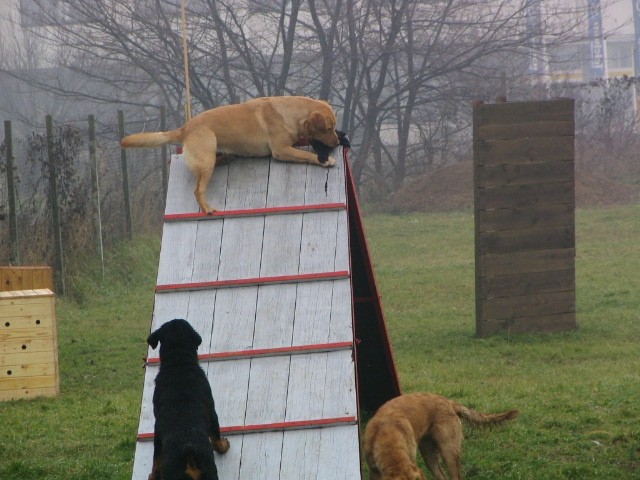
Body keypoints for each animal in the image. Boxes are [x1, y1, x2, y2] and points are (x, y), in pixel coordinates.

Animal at [120, 95, 340, 212]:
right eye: (329, 129)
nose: (338, 141)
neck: (289, 113)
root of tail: (185, 128)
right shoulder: (281, 150)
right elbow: (306, 155)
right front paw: (325, 159)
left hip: (210, 157)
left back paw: (226, 157)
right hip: (206, 159)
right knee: (198, 190)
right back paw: (207, 209)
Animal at [148, 318, 230, 480]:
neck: (178, 362)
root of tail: (189, 452)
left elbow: (156, 461)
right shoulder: (212, 410)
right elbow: (216, 437)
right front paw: (224, 446)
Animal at [362, 394, 516, 480]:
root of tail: (449, 402)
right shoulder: (373, 472)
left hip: (449, 452)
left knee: (455, 477)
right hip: (429, 456)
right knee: (441, 477)